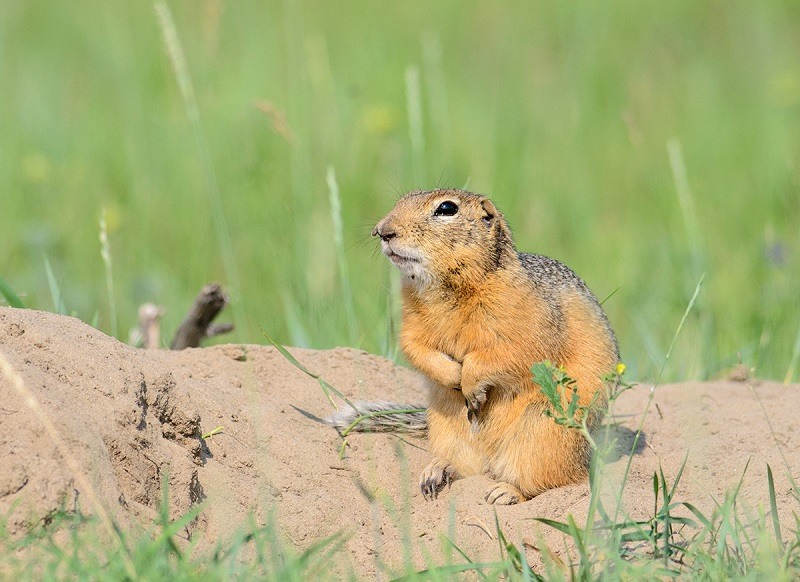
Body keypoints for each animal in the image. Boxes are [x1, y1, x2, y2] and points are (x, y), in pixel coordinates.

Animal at [328, 189, 616, 504]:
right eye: (402, 199)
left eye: (446, 208)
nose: (382, 230)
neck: (446, 287)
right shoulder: (411, 322)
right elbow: (415, 347)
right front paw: (452, 376)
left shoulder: (529, 321)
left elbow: (510, 353)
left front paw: (469, 383)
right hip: (447, 428)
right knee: (468, 468)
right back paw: (437, 471)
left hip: (542, 434)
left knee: (549, 479)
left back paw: (505, 491)